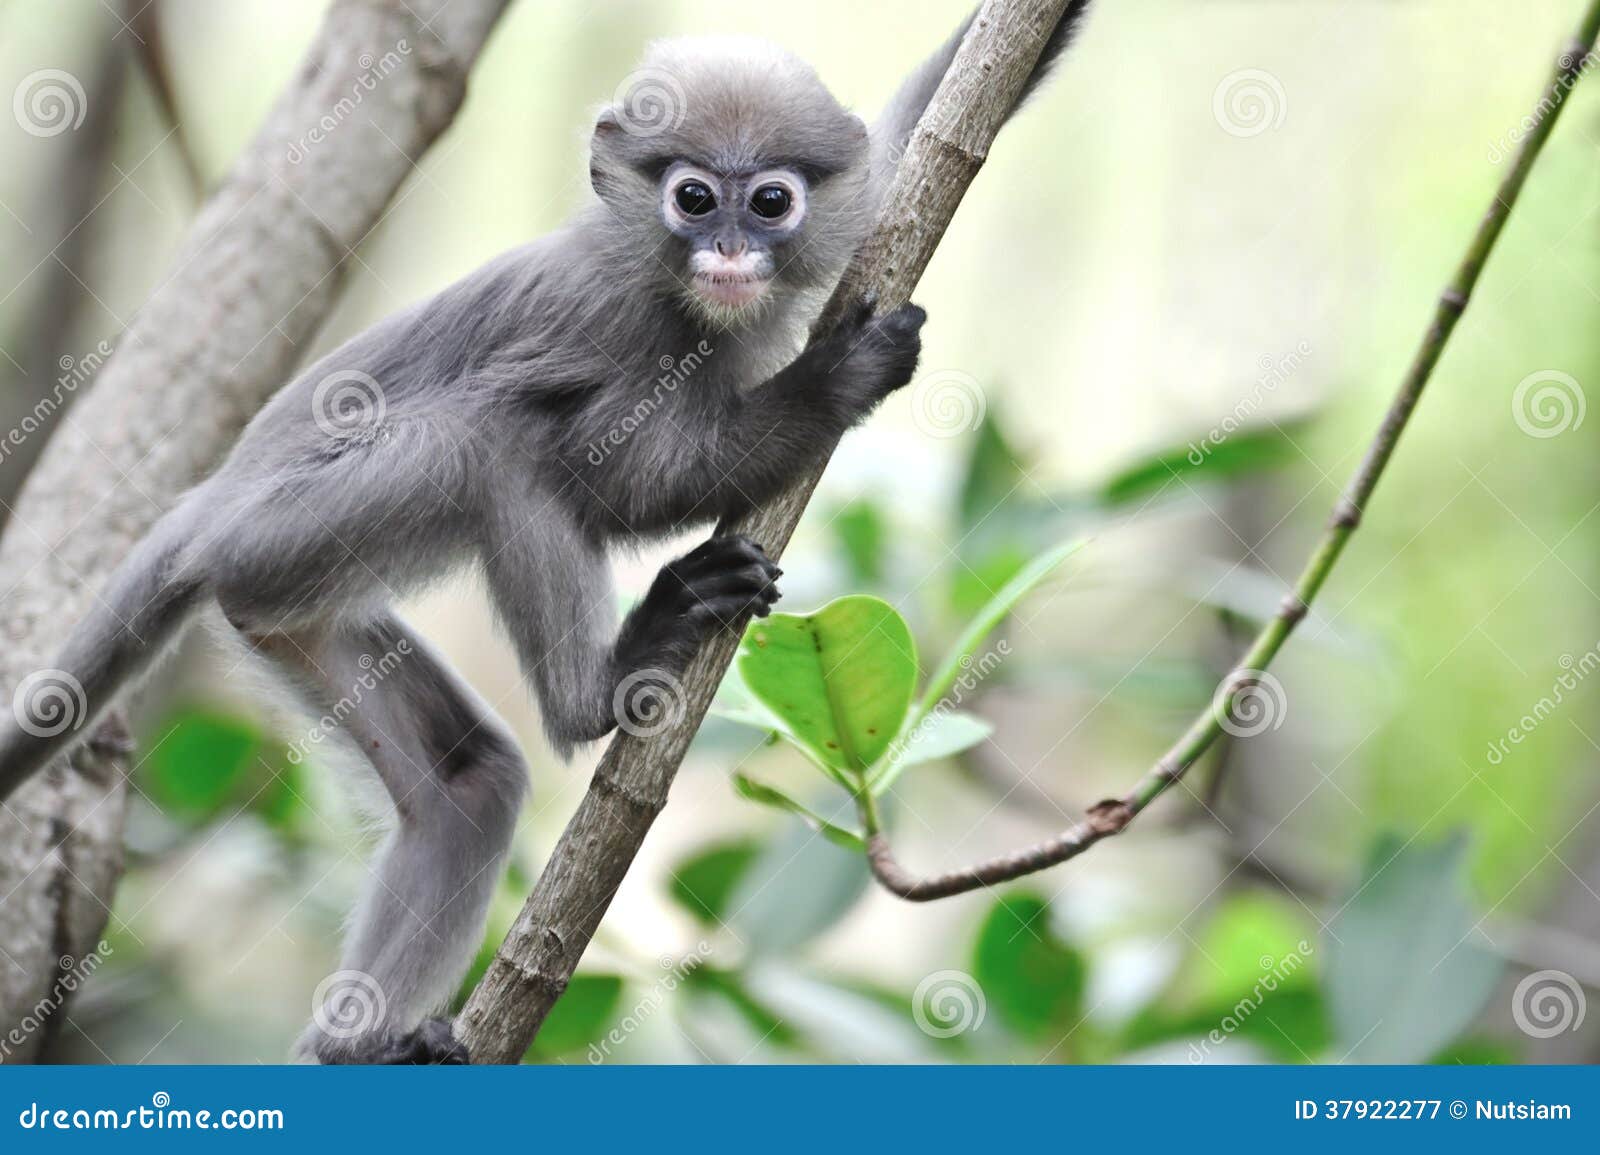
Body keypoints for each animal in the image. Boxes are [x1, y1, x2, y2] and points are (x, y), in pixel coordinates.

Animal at [0, 2, 1088, 1062]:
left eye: (771, 202)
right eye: (696, 199)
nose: (732, 248)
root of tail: (206, 502)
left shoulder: (867, 203)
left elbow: (924, 127)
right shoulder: (607, 318)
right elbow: (621, 478)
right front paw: (830, 384)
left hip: (289, 608)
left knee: (468, 782)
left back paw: (349, 1048)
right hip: (281, 535)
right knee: (488, 444)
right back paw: (599, 692)